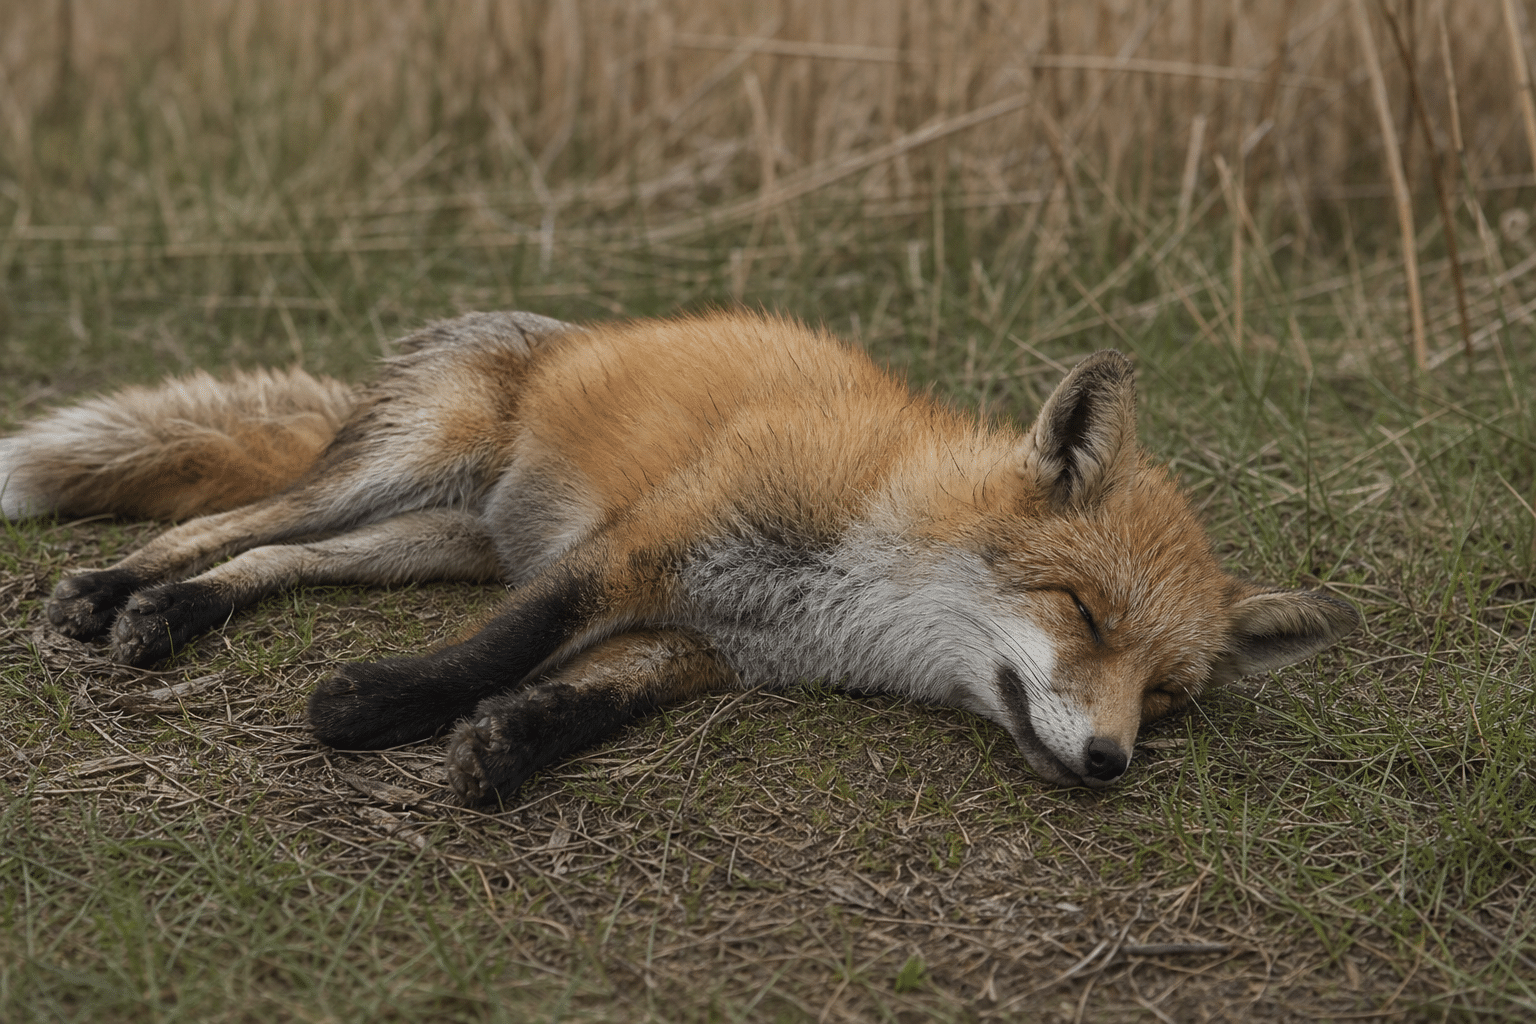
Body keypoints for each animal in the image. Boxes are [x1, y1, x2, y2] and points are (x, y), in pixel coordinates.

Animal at [2, 310, 1358, 804]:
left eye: (1167, 697)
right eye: (1082, 612)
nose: (1108, 760)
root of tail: (555, 334)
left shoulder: (708, 642)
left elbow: (589, 698)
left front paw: (505, 746)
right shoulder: (647, 543)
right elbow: (513, 641)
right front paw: (376, 707)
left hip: (430, 540)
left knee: (278, 563)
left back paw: (170, 614)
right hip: (400, 470)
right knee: (229, 523)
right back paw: (112, 594)